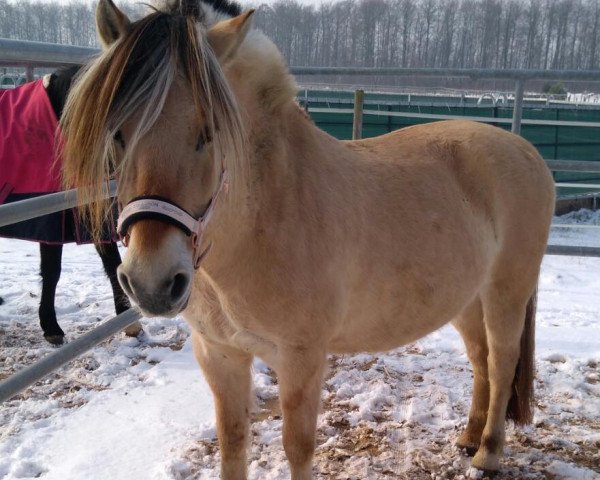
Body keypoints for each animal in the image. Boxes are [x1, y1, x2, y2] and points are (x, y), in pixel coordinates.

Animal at [0, 67, 142, 344]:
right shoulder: (52, 218)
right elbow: (52, 271)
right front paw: (51, 326)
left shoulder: (91, 207)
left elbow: (112, 261)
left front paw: (128, 321)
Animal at [59, 0, 552, 476]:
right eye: (117, 133)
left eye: (208, 132)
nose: (153, 283)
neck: (264, 217)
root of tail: (527, 151)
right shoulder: (219, 354)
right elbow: (232, 444)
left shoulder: (301, 359)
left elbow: (297, 448)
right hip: (467, 299)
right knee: (481, 360)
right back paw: (468, 438)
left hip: (505, 293)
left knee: (502, 361)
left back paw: (487, 453)